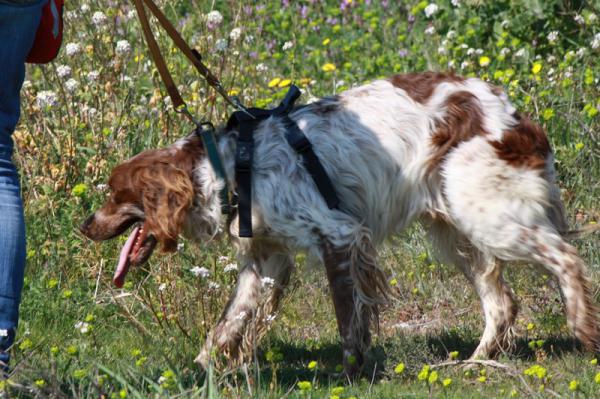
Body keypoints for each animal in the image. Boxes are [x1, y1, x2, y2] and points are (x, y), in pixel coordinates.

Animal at [79, 73, 600, 376]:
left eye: (115, 195)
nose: (85, 225)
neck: (228, 167)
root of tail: (510, 111)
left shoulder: (339, 235)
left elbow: (348, 315)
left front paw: (351, 371)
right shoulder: (266, 259)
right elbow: (228, 324)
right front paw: (203, 370)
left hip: (488, 216)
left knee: (567, 259)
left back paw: (584, 332)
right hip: (457, 230)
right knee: (502, 301)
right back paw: (476, 363)